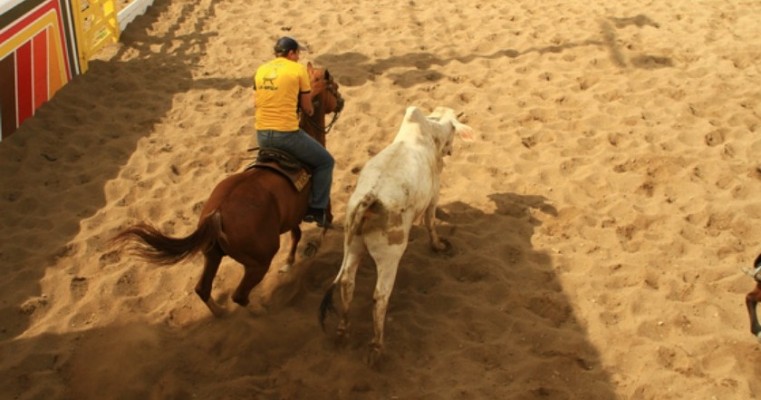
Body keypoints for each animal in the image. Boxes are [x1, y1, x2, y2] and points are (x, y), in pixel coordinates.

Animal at [113, 62, 344, 316]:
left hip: (212, 254)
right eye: (334, 87)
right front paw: (317, 242)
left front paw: (289, 262)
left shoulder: (293, 214)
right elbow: (325, 218)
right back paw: (260, 311)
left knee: (203, 289)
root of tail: (218, 213)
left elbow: (296, 235)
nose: (341, 102)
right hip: (258, 263)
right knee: (239, 296)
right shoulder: (322, 192)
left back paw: (220, 312)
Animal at [318, 104, 472, 364]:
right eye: (453, 131)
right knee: (380, 296)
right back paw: (377, 346)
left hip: (353, 245)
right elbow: (430, 220)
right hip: (389, 257)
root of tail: (370, 200)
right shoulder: (434, 193)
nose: (450, 150)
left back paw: (342, 330)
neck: (429, 131)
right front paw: (438, 245)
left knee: (347, 282)